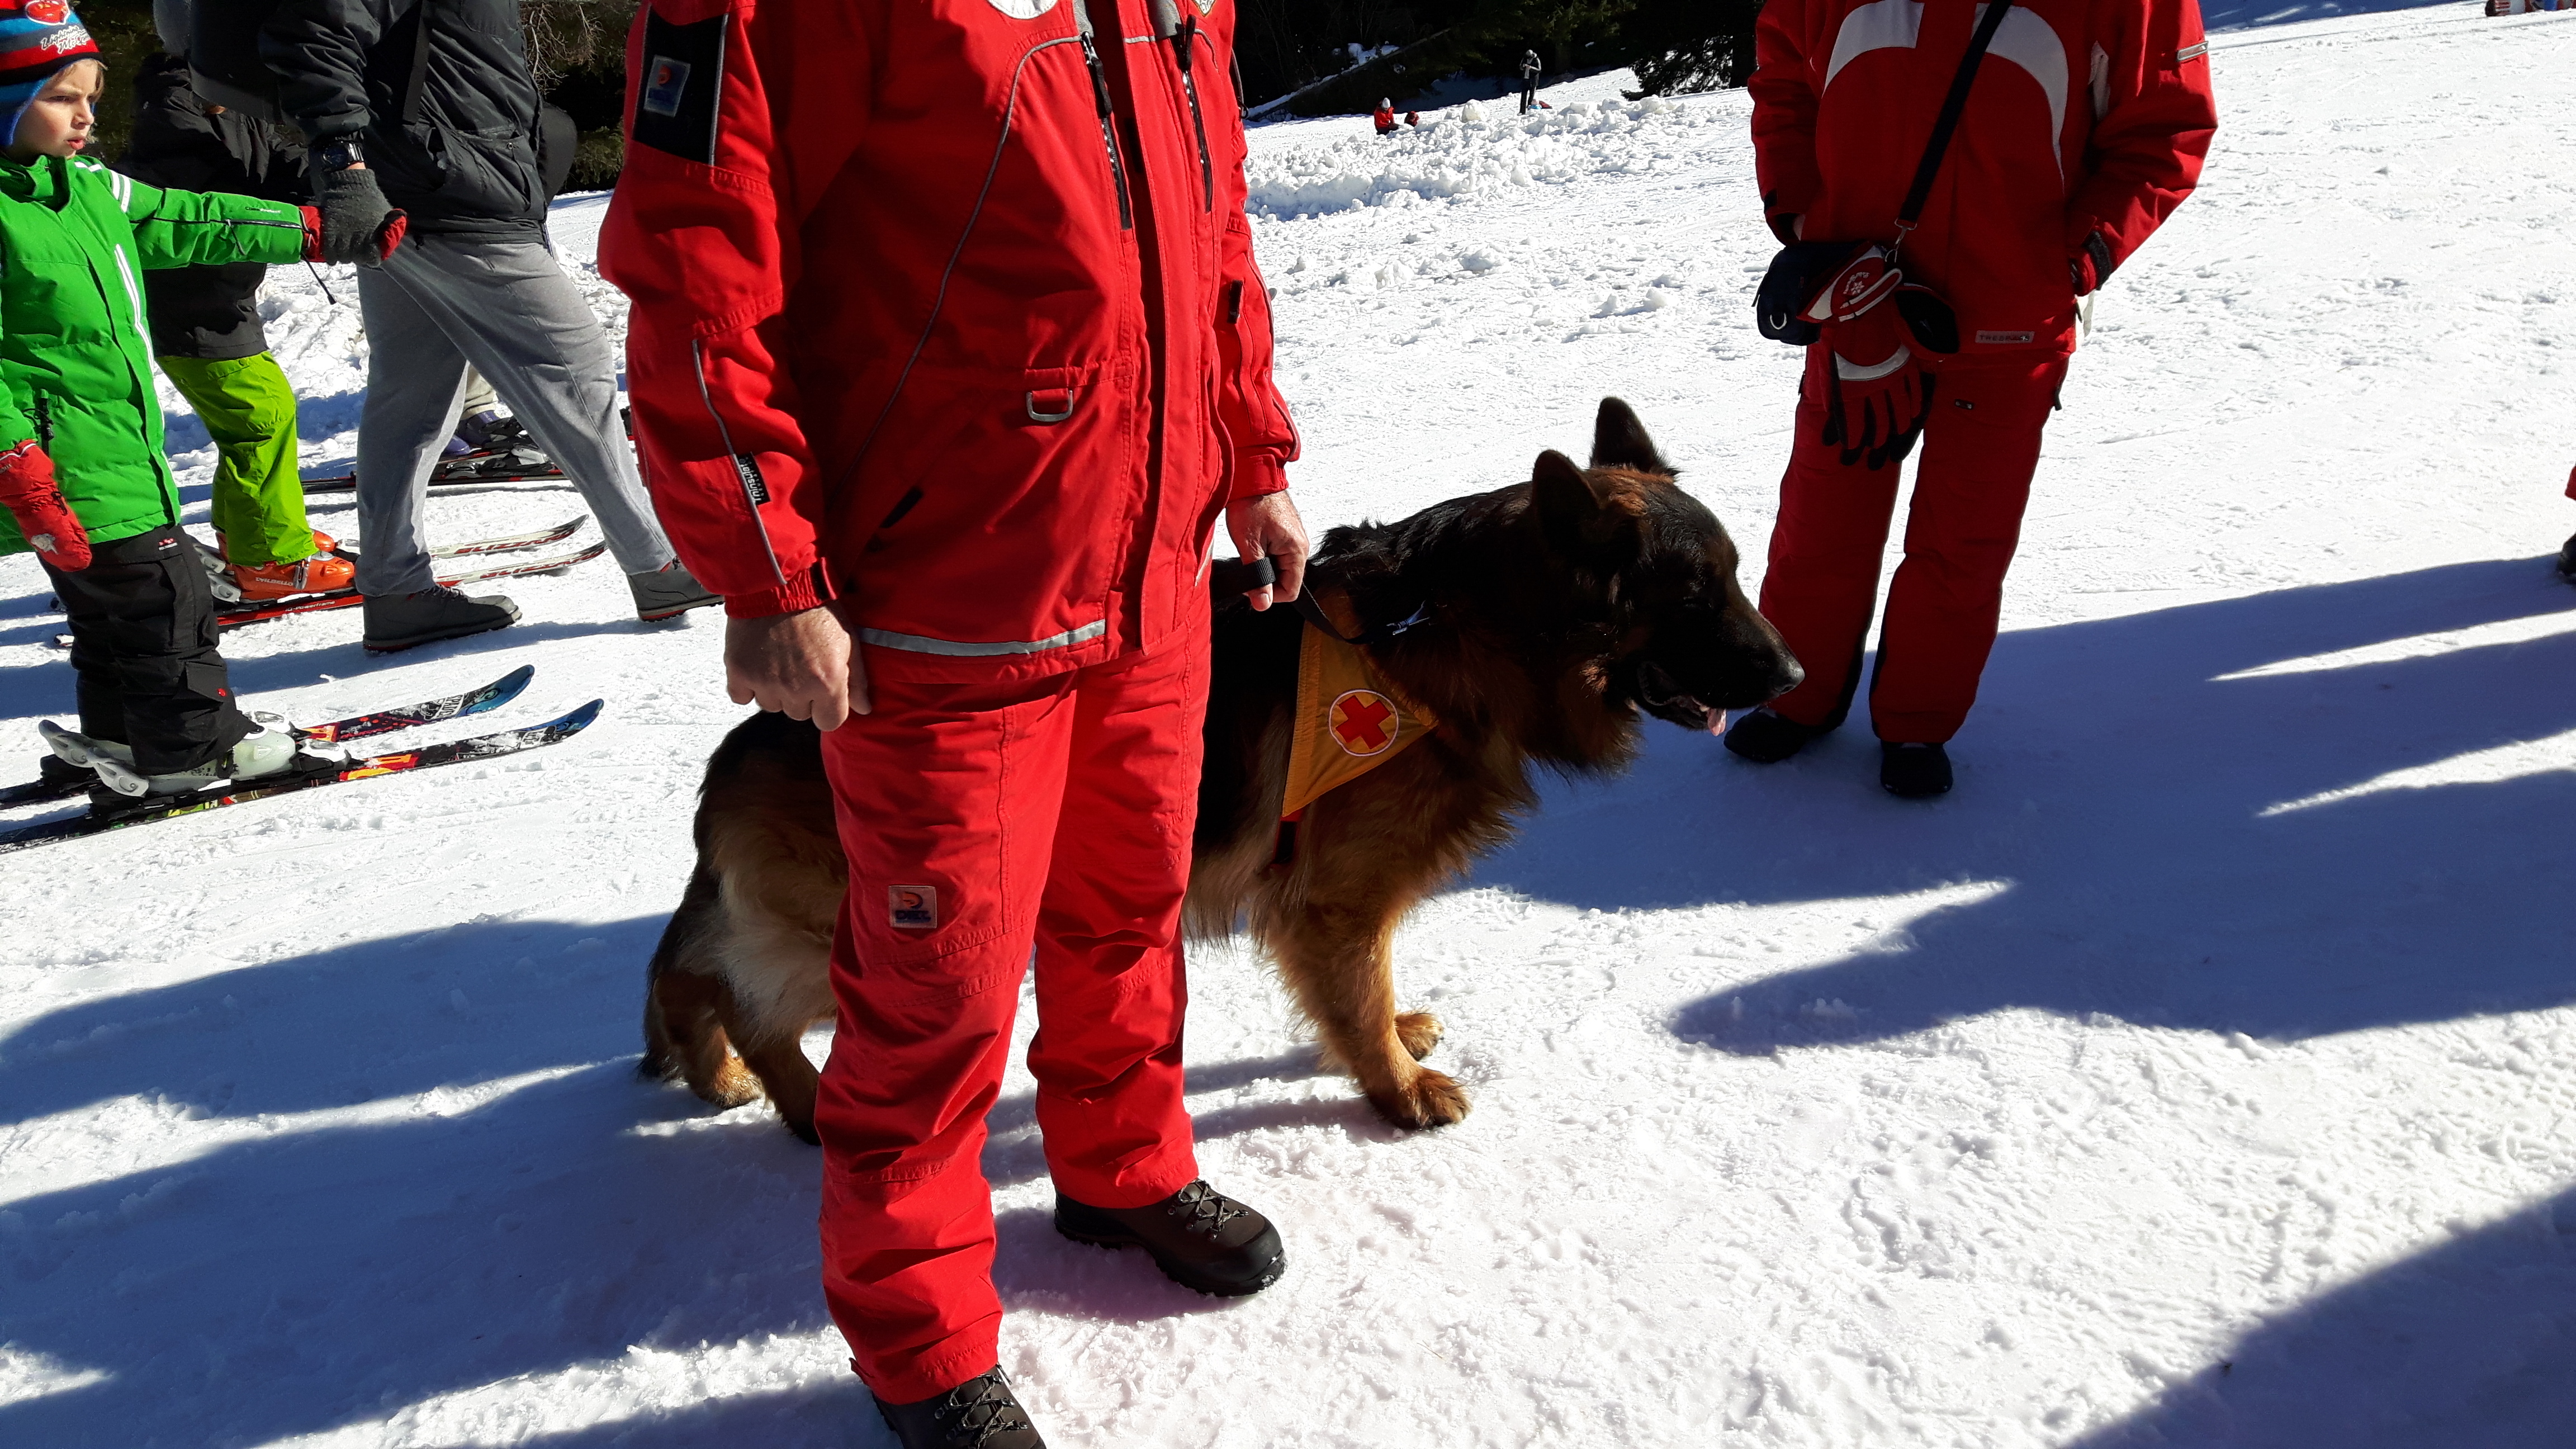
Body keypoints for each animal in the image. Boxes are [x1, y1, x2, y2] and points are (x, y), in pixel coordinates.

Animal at [641, 397, 1793, 1139]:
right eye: (1694, 595)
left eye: (1736, 577)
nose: (1792, 673)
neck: (1463, 625)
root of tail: (740, 747)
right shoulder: (1332, 903)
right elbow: (1356, 1000)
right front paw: (1398, 1089)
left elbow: (1371, 987)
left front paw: (1398, 1035)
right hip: (876, 938)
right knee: (729, 989)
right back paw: (785, 1096)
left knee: (701, 972)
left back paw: (713, 1073)